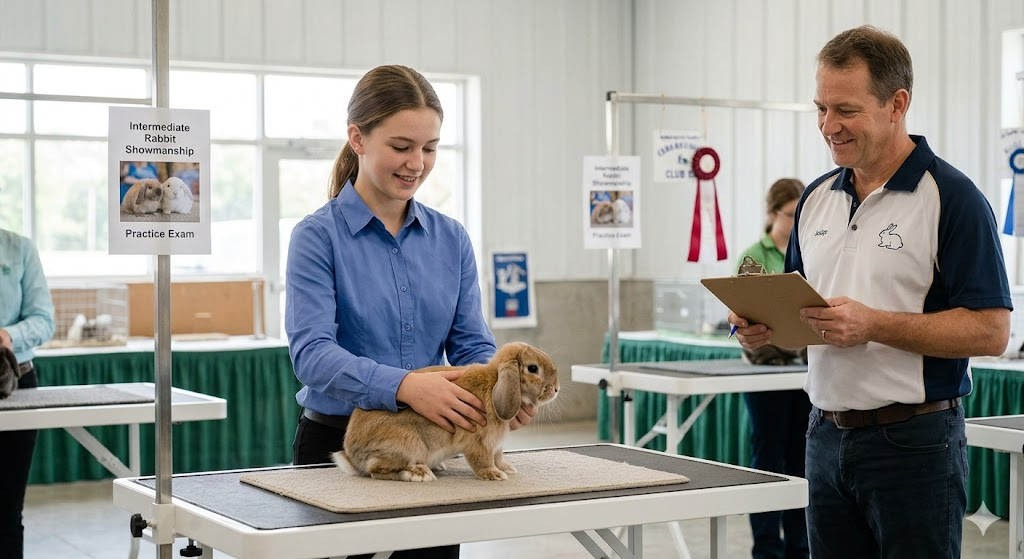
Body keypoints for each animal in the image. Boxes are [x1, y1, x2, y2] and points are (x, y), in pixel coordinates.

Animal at [332, 342, 560, 482]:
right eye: (533, 369)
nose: (556, 389)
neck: (495, 382)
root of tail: (352, 457)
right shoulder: (478, 441)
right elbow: (482, 460)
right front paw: (493, 475)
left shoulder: (495, 445)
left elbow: (498, 457)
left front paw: (506, 468)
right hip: (408, 444)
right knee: (376, 470)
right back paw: (418, 474)